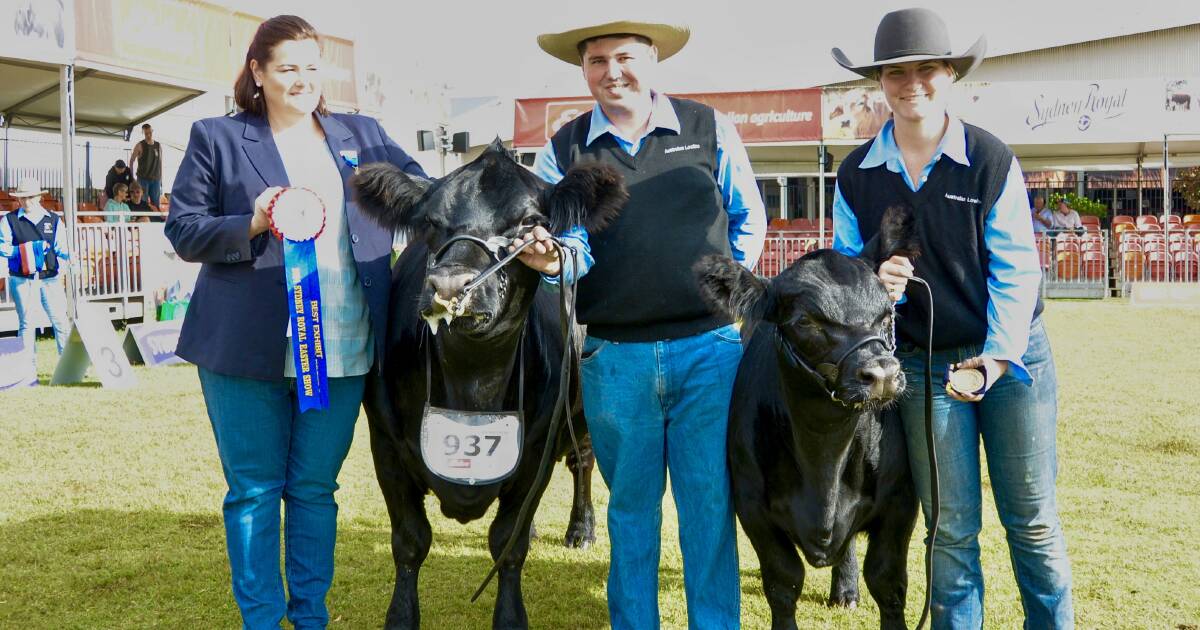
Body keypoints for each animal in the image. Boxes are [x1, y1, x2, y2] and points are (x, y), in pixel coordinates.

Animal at [350, 139, 624, 624]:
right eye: (429, 222)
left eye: (530, 223)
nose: (450, 284)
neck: (473, 380)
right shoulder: (385, 443)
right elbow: (410, 542)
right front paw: (401, 617)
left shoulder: (535, 448)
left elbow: (507, 544)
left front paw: (511, 617)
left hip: (583, 411)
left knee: (582, 462)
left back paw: (581, 529)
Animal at [696, 207, 916, 628]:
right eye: (805, 322)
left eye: (886, 314)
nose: (882, 374)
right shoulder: (753, 509)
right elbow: (784, 582)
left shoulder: (900, 503)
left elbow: (887, 581)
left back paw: (845, 590)